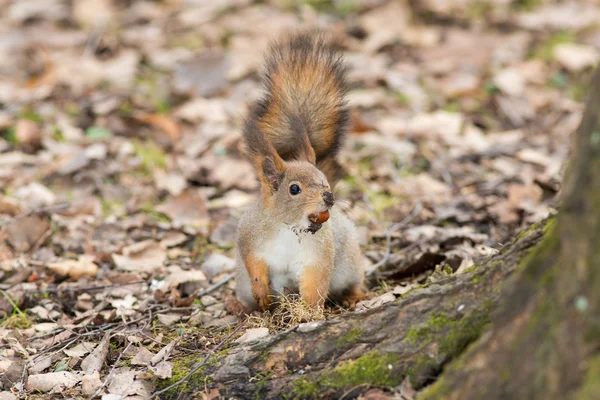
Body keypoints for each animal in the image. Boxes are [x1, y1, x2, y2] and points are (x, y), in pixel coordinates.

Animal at [234, 32, 366, 310]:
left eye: (325, 180)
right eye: (294, 189)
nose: (329, 198)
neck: (289, 226)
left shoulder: (318, 254)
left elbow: (316, 282)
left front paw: (308, 312)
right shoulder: (249, 238)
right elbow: (254, 264)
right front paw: (261, 291)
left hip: (349, 264)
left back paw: (354, 296)